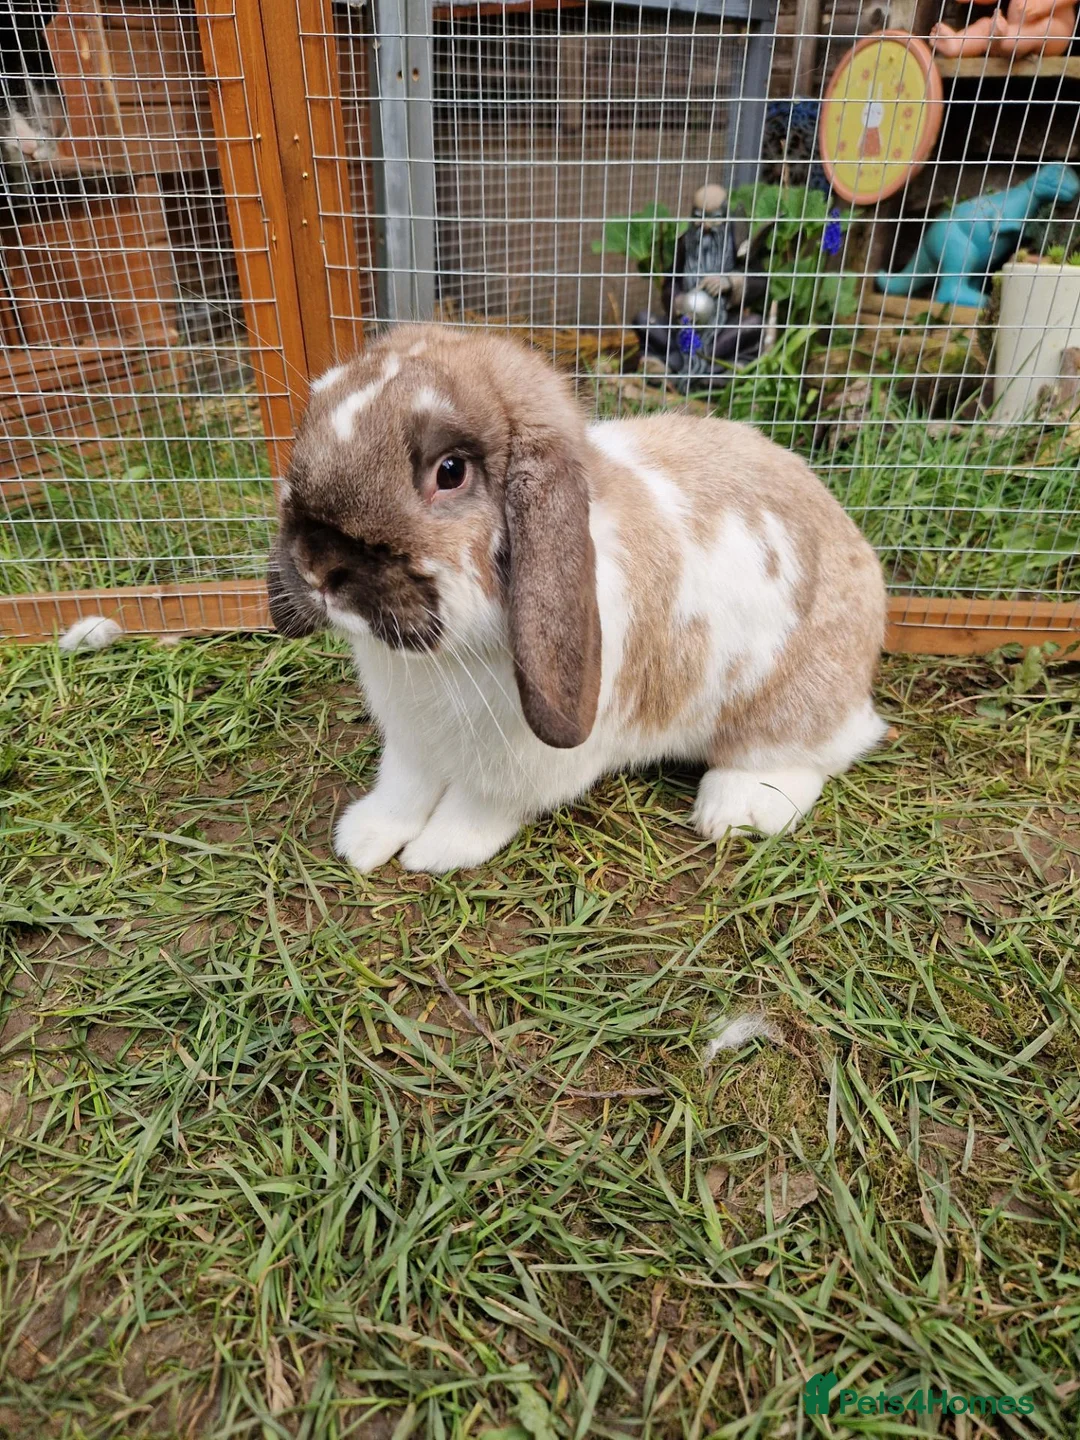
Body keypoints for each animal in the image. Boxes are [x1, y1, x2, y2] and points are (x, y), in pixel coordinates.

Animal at [267, 324, 888, 874]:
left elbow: (479, 806)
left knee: (816, 754)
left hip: (788, 702)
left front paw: (438, 853)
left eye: (450, 470)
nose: (318, 566)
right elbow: (402, 789)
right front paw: (362, 839)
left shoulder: (520, 761)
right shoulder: (412, 743)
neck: (442, 660)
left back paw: (733, 810)